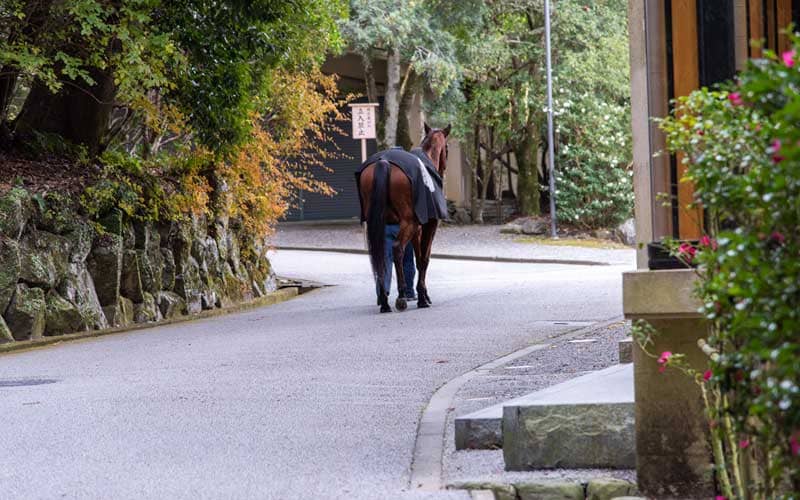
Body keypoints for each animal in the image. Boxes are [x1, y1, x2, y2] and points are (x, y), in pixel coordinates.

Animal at [358, 123, 450, 313]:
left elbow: (418, 258)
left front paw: (423, 295)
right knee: (397, 249)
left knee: (380, 254)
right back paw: (400, 296)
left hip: (377, 224)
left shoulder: (417, 230)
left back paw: (384, 301)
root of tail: (384, 161)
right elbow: (424, 259)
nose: (444, 169)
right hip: (409, 223)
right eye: (447, 147)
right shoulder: (429, 226)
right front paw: (423, 297)